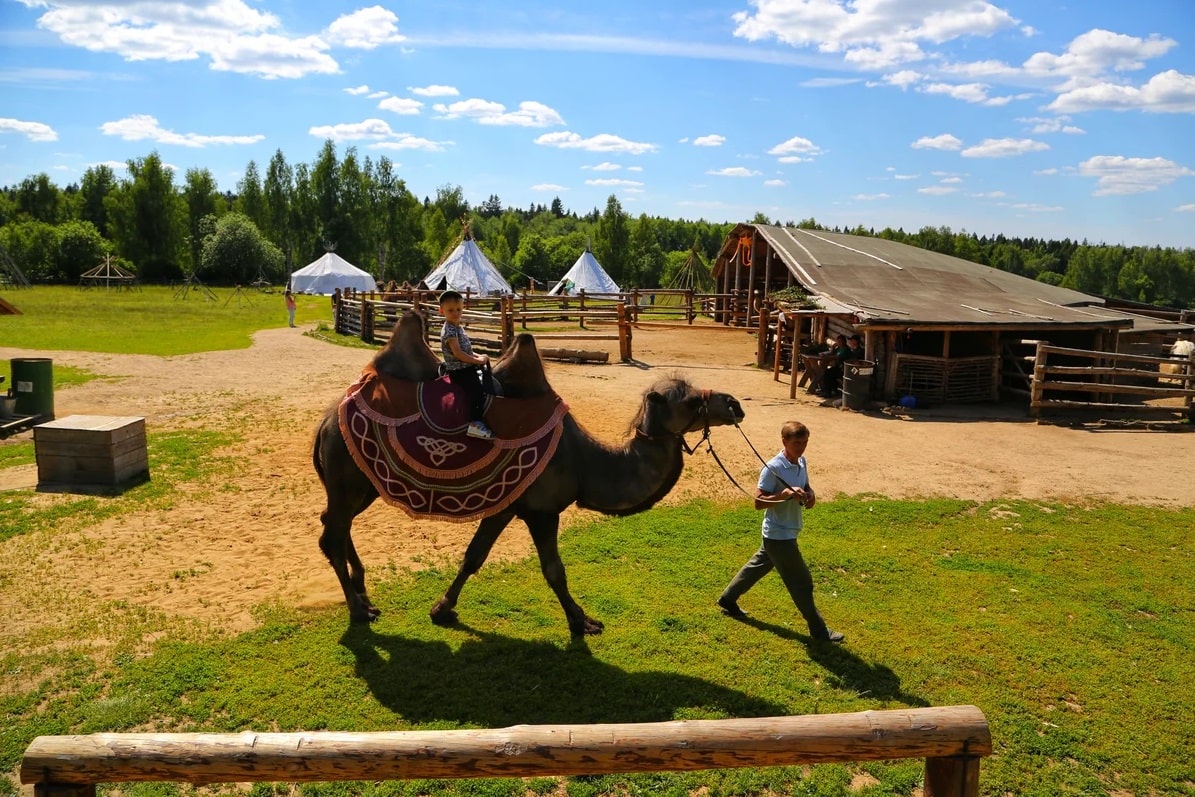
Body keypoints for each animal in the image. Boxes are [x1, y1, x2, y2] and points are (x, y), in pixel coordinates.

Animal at [310, 310, 736, 635]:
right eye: (691, 400)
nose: (735, 404)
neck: (584, 460)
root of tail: (327, 419)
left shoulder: (507, 504)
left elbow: (474, 557)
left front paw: (442, 608)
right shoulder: (542, 510)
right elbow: (553, 570)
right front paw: (583, 622)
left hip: (361, 483)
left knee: (336, 523)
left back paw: (363, 594)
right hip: (349, 476)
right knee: (331, 534)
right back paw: (359, 610)